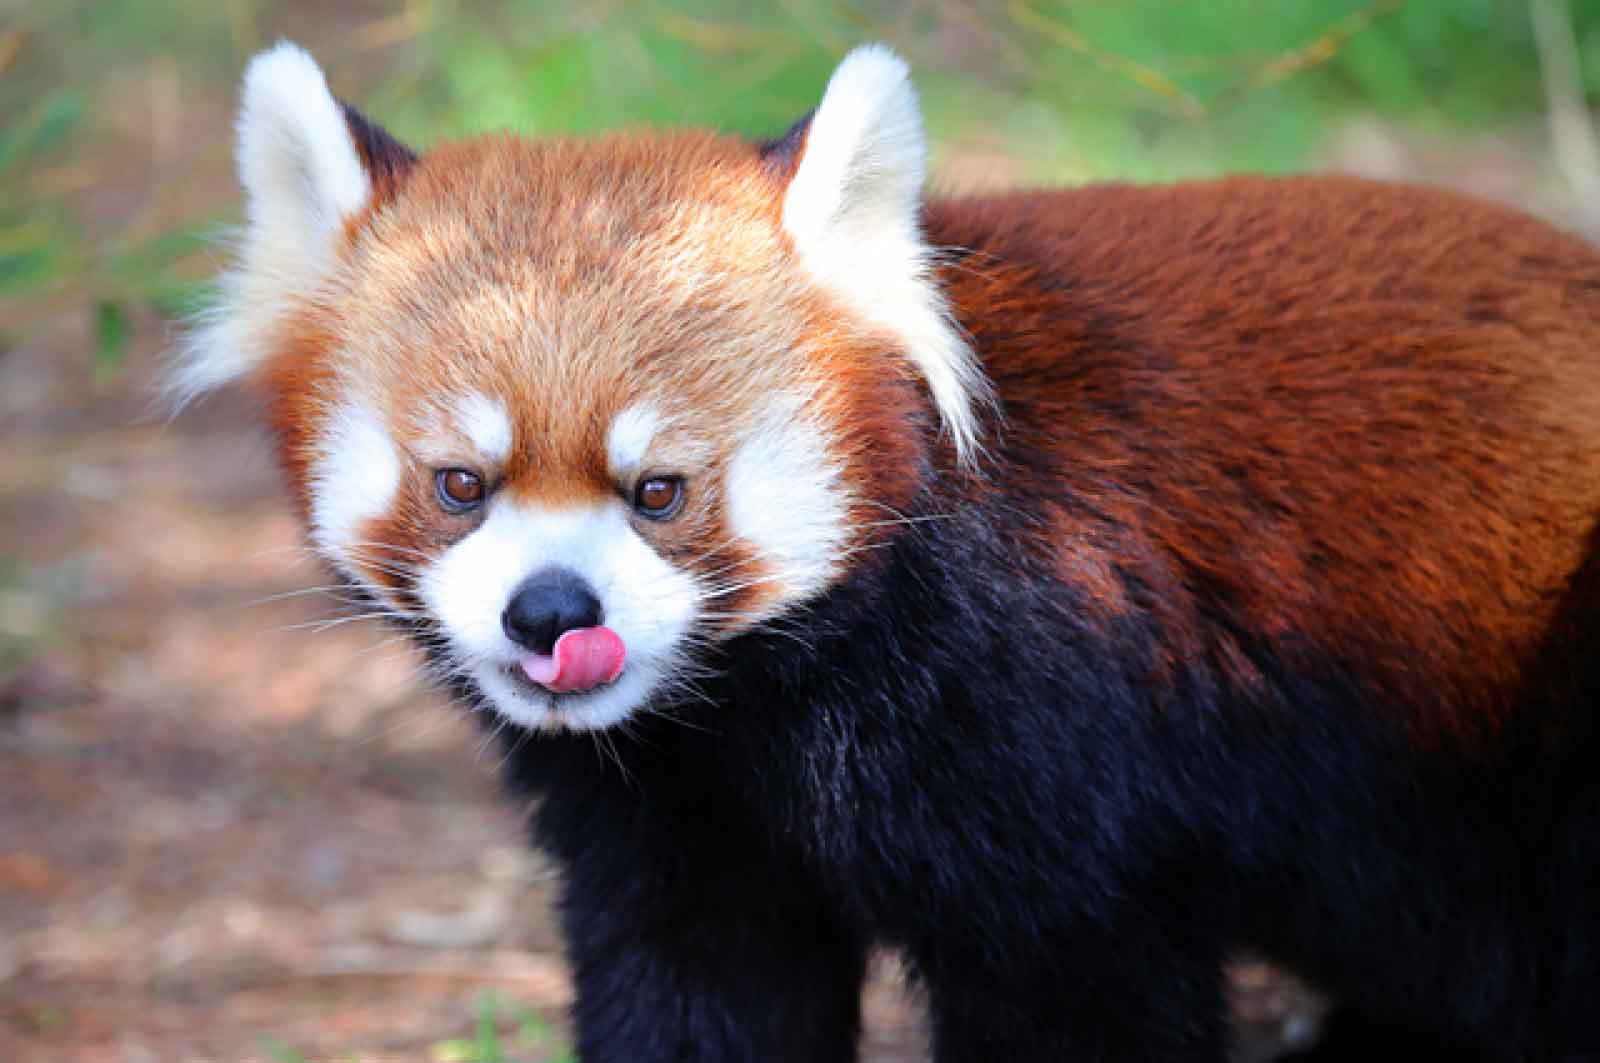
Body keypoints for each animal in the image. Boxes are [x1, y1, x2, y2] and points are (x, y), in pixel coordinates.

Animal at [175, 41, 1600, 1063]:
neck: (760, 706)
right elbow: (699, 978)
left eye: (660, 491)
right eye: (461, 485)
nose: (550, 612)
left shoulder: (1064, 722)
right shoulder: (675, 815)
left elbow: (1081, 993)